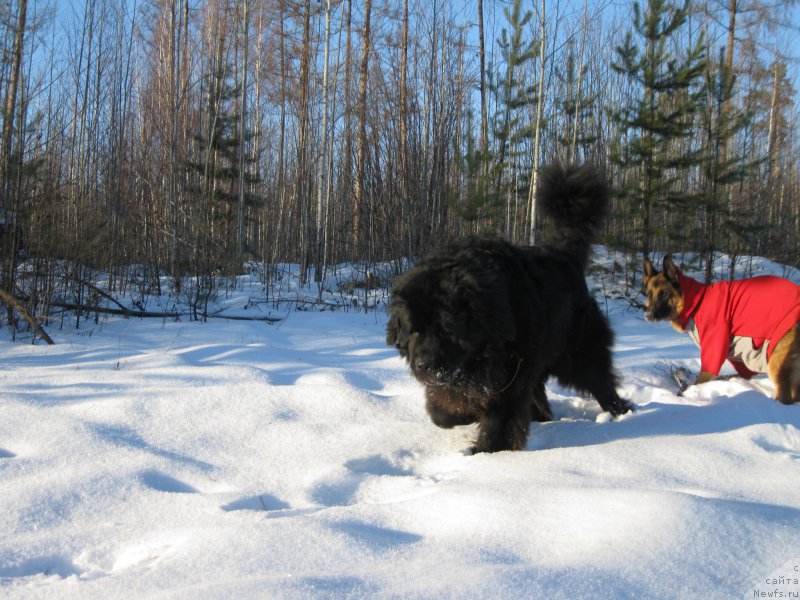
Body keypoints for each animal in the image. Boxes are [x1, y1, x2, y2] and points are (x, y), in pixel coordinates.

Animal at [386, 162, 632, 452]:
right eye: (414, 331)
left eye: (447, 330)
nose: (424, 364)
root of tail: (564, 256)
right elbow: (443, 409)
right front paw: (460, 416)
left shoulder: (509, 378)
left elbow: (499, 418)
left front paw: (487, 452)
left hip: (577, 352)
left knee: (600, 380)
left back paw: (622, 413)